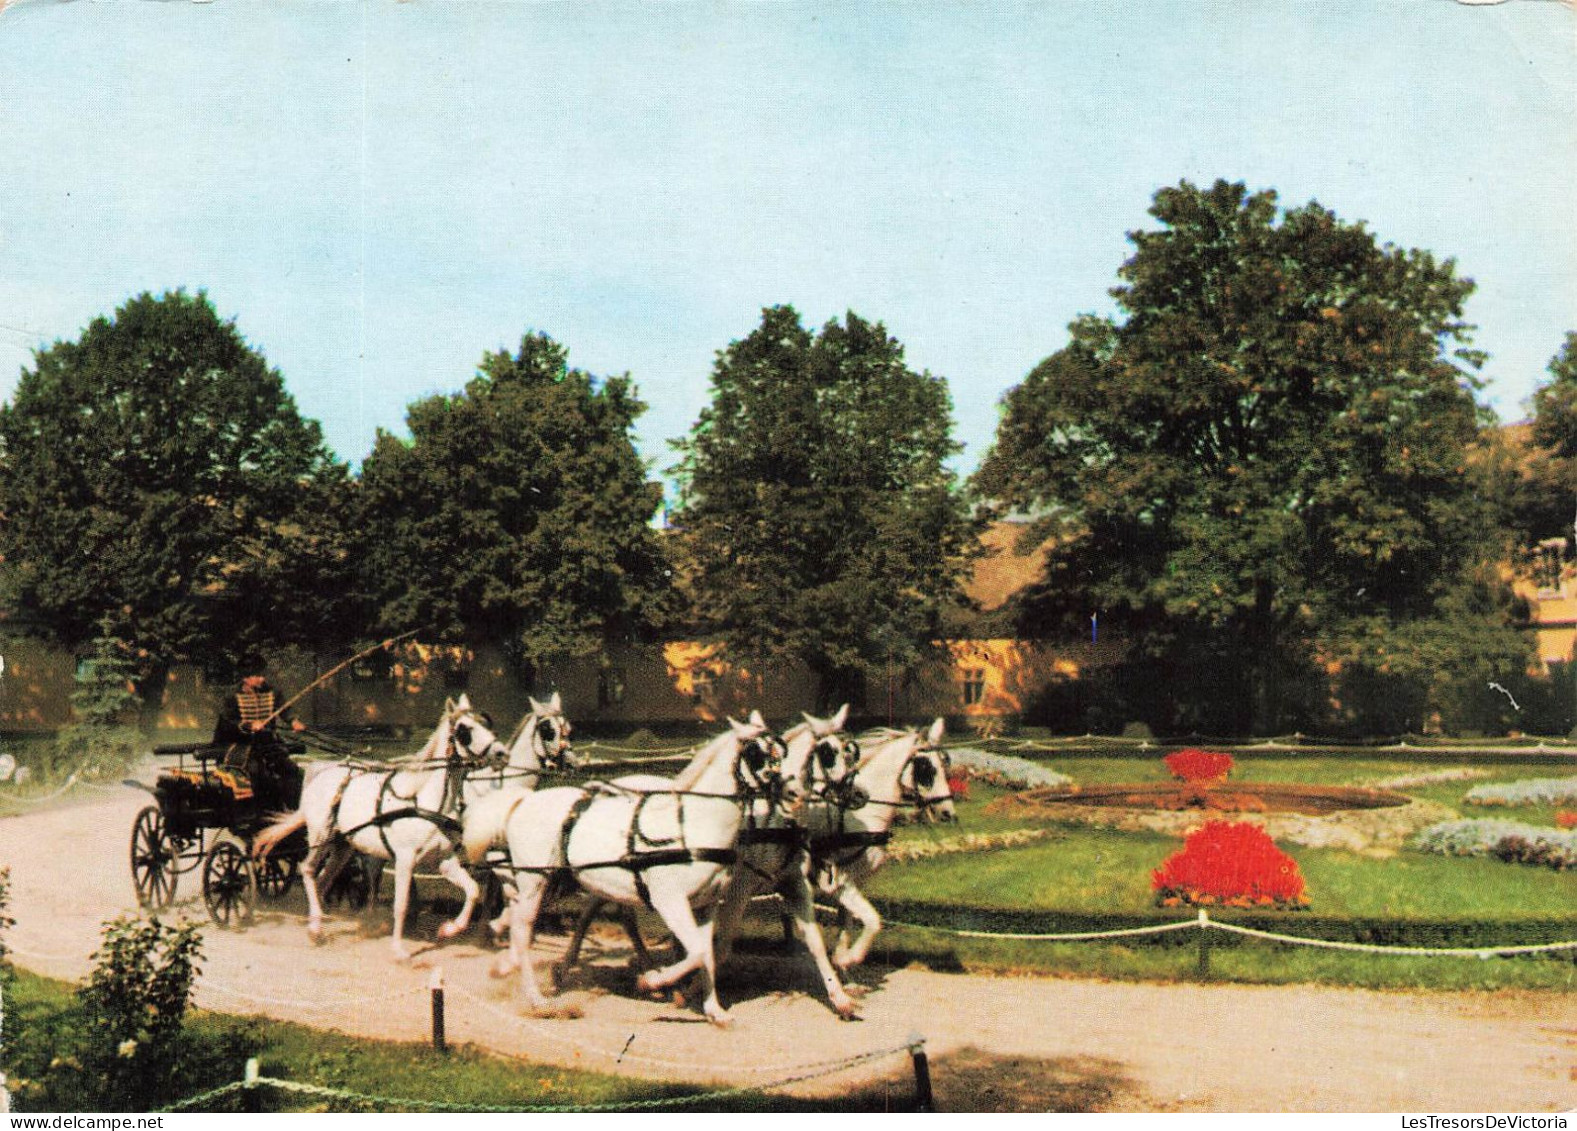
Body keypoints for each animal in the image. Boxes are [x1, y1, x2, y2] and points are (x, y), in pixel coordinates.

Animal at [255, 694, 507, 959]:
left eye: (486, 723)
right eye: (464, 729)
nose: (502, 753)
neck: (423, 801)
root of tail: (321, 773)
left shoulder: (444, 861)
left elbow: (473, 890)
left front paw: (449, 929)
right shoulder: (405, 860)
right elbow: (401, 905)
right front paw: (399, 950)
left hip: (343, 846)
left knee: (323, 879)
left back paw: (319, 927)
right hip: (321, 836)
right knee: (307, 870)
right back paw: (315, 926)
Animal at [463, 716, 788, 1022]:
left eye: (780, 750)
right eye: (755, 752)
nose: (787, 791)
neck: (691, 826)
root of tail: (522, 801)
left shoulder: (706, 904)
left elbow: (705, 952)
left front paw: (714, 1011)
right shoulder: (670, 901)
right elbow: (695, 951)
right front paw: (653, 981)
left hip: (557, 880)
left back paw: (510, 963)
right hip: (536, 880)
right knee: (522, 927)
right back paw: (535, 998)